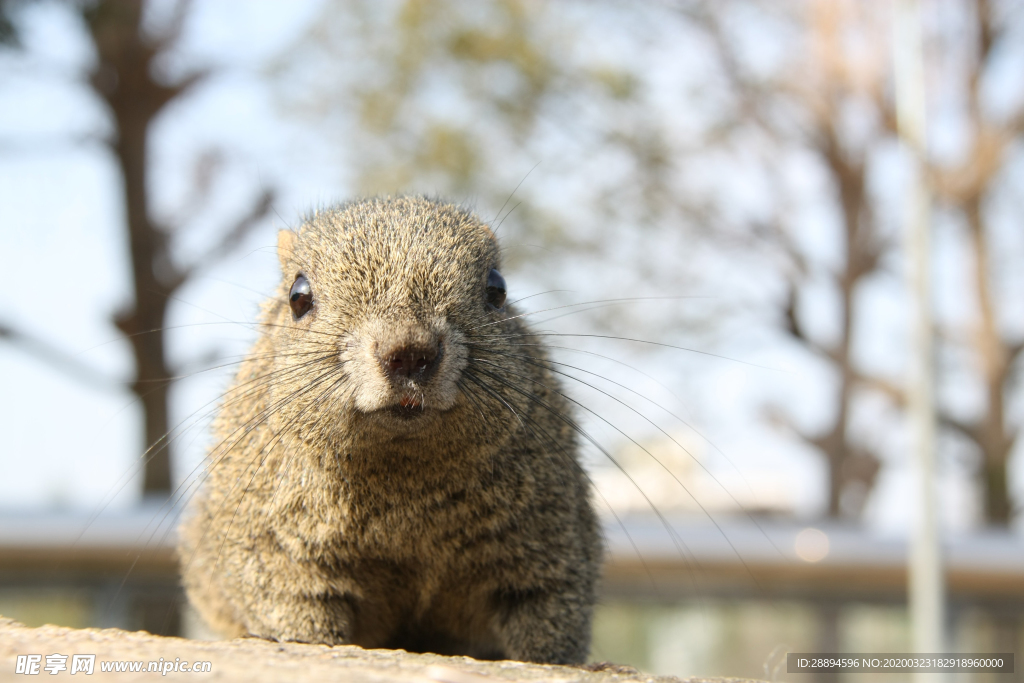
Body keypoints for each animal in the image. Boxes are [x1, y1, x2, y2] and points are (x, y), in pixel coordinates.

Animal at [179, 194, 602, 663]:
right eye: (298, 296)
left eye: (497, 289)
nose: (410, 352)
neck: (402, 473)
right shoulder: (275, 550)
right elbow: (297, 613)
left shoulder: (552, 544)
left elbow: (547, 624)